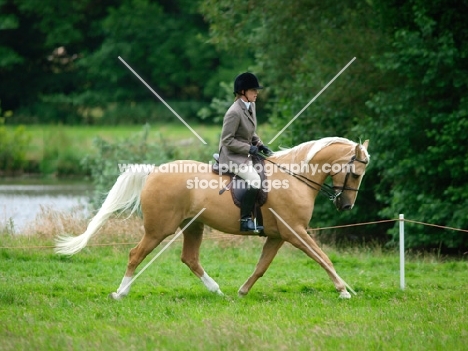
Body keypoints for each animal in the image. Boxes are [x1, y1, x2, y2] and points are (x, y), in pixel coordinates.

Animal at [54, 137, 370, 300]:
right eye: (355, 173)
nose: (346, 205)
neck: (295, 177)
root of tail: (154, 171)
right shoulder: (296, 232)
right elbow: (323, 258)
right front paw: (344, 291)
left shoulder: (279, 236)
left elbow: (261, 267)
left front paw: (242, 292)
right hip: (159, 230)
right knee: (136, 254)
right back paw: (120, 293)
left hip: (193, 226)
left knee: (190, 259)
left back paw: (218, 291)